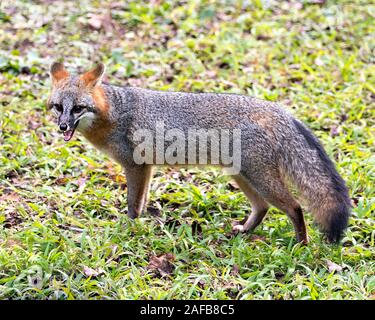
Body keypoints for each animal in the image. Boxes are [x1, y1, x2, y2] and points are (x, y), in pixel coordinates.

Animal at [47, 62, 352, 242]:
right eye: (58, 107)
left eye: (78, 108)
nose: (63, 126)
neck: (115, 112)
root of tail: (278, 110)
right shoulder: (146, 168)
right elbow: (142, 201)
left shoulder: (136, 166)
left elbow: (134, 204)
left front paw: (128, 227)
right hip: (242, 176)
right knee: (262, 207)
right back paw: (245, 230)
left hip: (260, 179)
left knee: (295, 207)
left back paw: (301, 243)